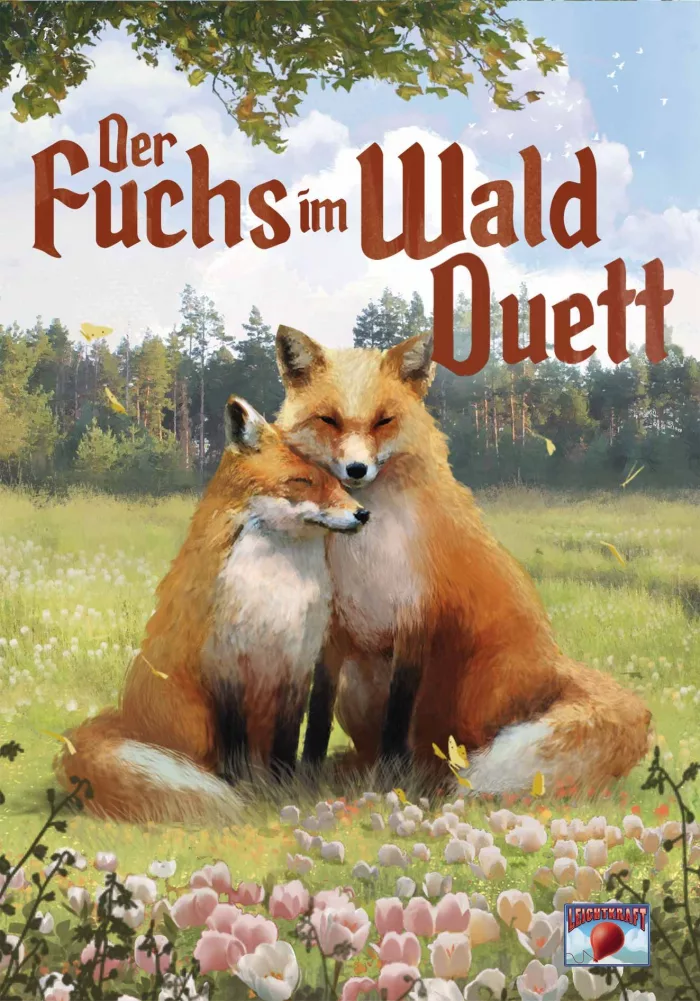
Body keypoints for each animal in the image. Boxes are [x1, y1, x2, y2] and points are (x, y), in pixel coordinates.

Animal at [54, 396, 369, 824]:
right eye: (302, 481)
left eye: (340, 481)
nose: (363, 514)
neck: (275, 593)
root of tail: (125, 720)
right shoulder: (224, 663)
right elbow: (233, 745)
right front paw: (242, 789)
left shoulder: (296, 665)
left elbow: (287, 742)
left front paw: (285, 788)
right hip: (195, 721)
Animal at [274, 325, 652, 794]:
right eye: (328, 420)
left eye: (384, 421)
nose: (357, 470)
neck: (364, 552)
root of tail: (556, 663)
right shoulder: (332, 631)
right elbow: (317, 715)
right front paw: (305, 777)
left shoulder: (416, 620)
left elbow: (398, 716)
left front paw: (390, 781)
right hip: (358, 683)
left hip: (475, 687)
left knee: (454, 750)